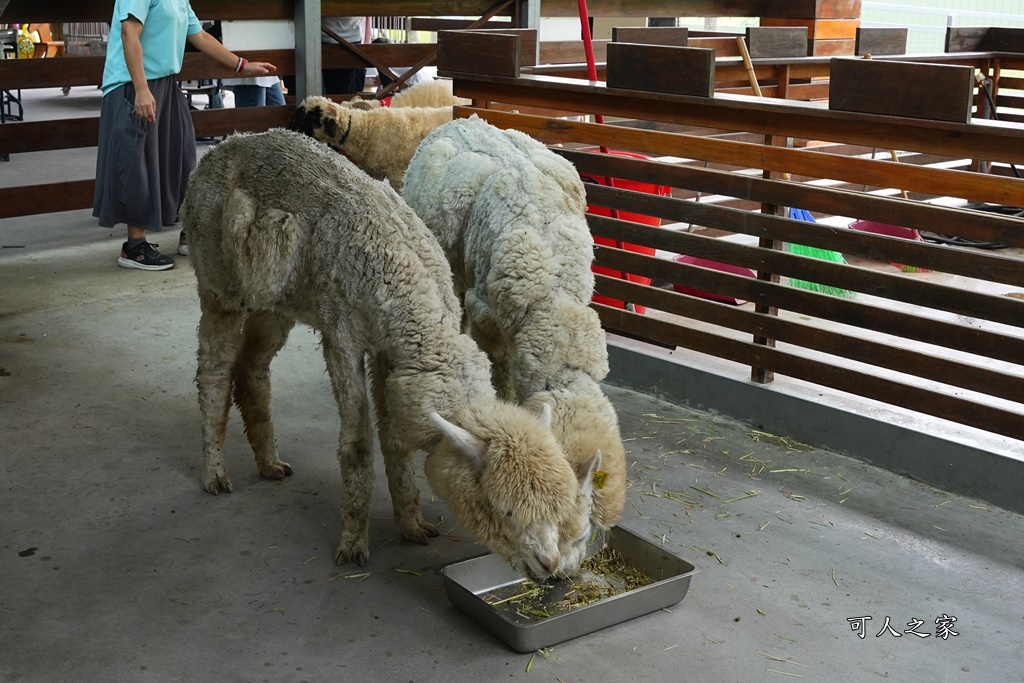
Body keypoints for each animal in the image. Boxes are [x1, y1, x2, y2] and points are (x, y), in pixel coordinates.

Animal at [182, 125, 598, 581]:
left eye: (561, 505)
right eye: (502, 509)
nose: (549, 565)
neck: (400, 279)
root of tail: (229, 143)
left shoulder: (392, 352)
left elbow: (394, 439)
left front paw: (412, 525)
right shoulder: (342, 335)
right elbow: (358, 445)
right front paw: (352, 542)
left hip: (273, 301)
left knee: (252, 370)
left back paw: (269, 462)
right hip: (219, 285)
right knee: (214, 372)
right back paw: (215, 473)